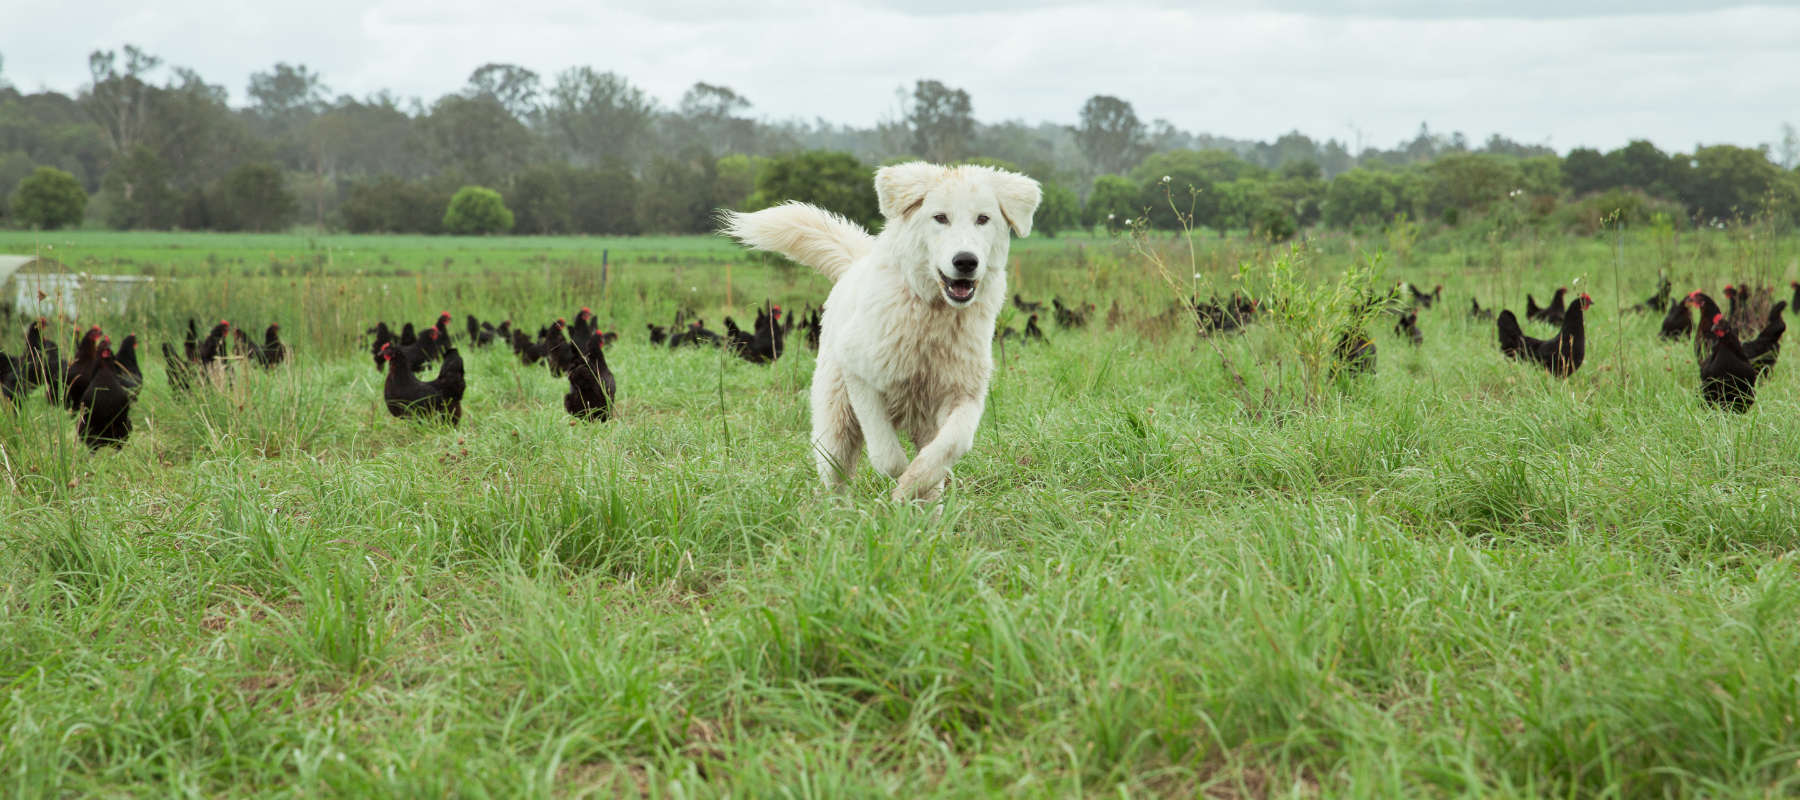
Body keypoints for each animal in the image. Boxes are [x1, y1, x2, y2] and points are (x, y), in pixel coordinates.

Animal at [723, 162, 1051, 500]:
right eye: (940, 218)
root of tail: (855, 263)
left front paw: (916, 481)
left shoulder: (965, 394)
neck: (932, 315)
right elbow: (888, 455)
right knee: (835, 477)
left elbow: (952, 445)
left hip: (922, 423)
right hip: (836, 422)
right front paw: (900, 487)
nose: (965, 261)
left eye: (983, 219)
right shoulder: (859, 375)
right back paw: (838, 511)